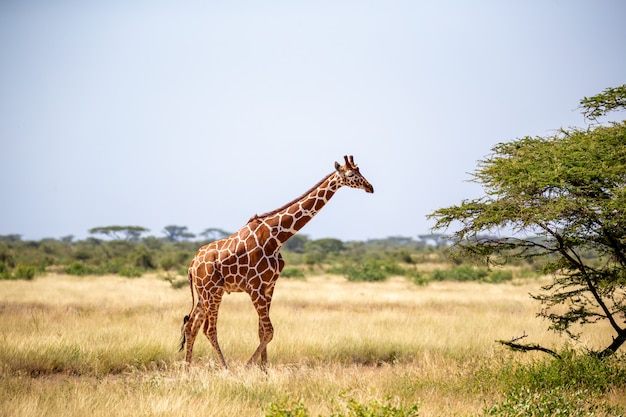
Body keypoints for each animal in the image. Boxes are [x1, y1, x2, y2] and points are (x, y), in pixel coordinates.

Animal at [180, 155, 372, 368]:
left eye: (360, 170)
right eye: (351, 174)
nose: (370, 187)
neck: (276, 237)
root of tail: (192, 265)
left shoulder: (269, 286)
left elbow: (262, 331)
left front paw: (264, 369)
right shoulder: (254, 287)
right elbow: (269, 331)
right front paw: (249, 367)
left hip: (205, 293)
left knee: (191, 326)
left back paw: (187, 369)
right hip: (212, 292)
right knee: (209, 329)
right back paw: (226, 369)